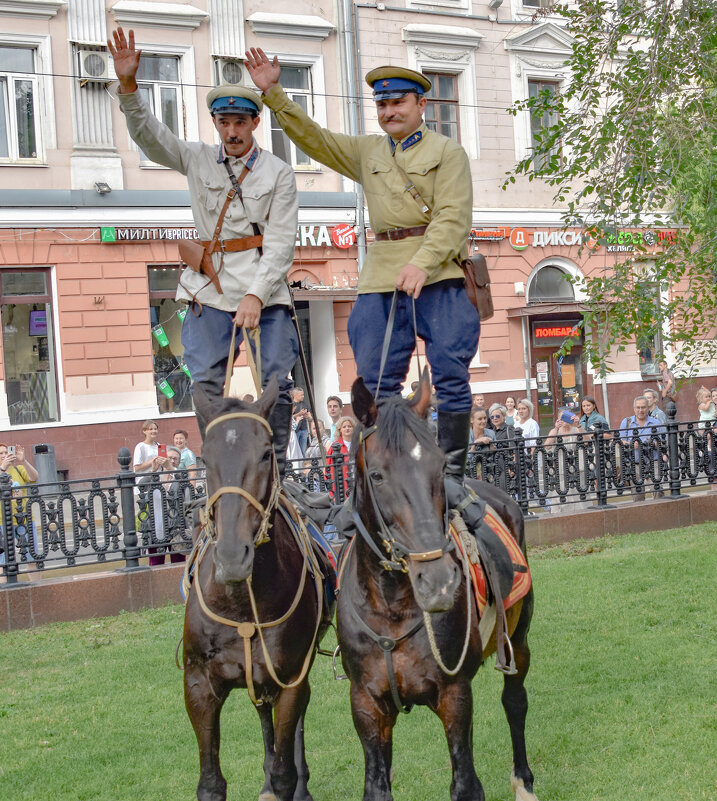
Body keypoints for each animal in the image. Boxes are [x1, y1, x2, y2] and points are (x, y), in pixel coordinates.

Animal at [182, 382, 332, 800]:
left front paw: (289, 781)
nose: (233, 557)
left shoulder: (290, 676)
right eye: (205, 457)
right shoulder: (198, 685)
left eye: (265, 453)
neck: (241, 606)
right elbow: (210, 784)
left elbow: (284, 770)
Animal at [336, 374, 536, 800]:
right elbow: (377, 784)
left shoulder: (454, 694)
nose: (439, 582)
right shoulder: (365, 703)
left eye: (439, 465)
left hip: (518, 638)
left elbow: (465, 783)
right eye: (377, 475)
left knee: (515, 701)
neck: (391, 606)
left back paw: (523, 780)